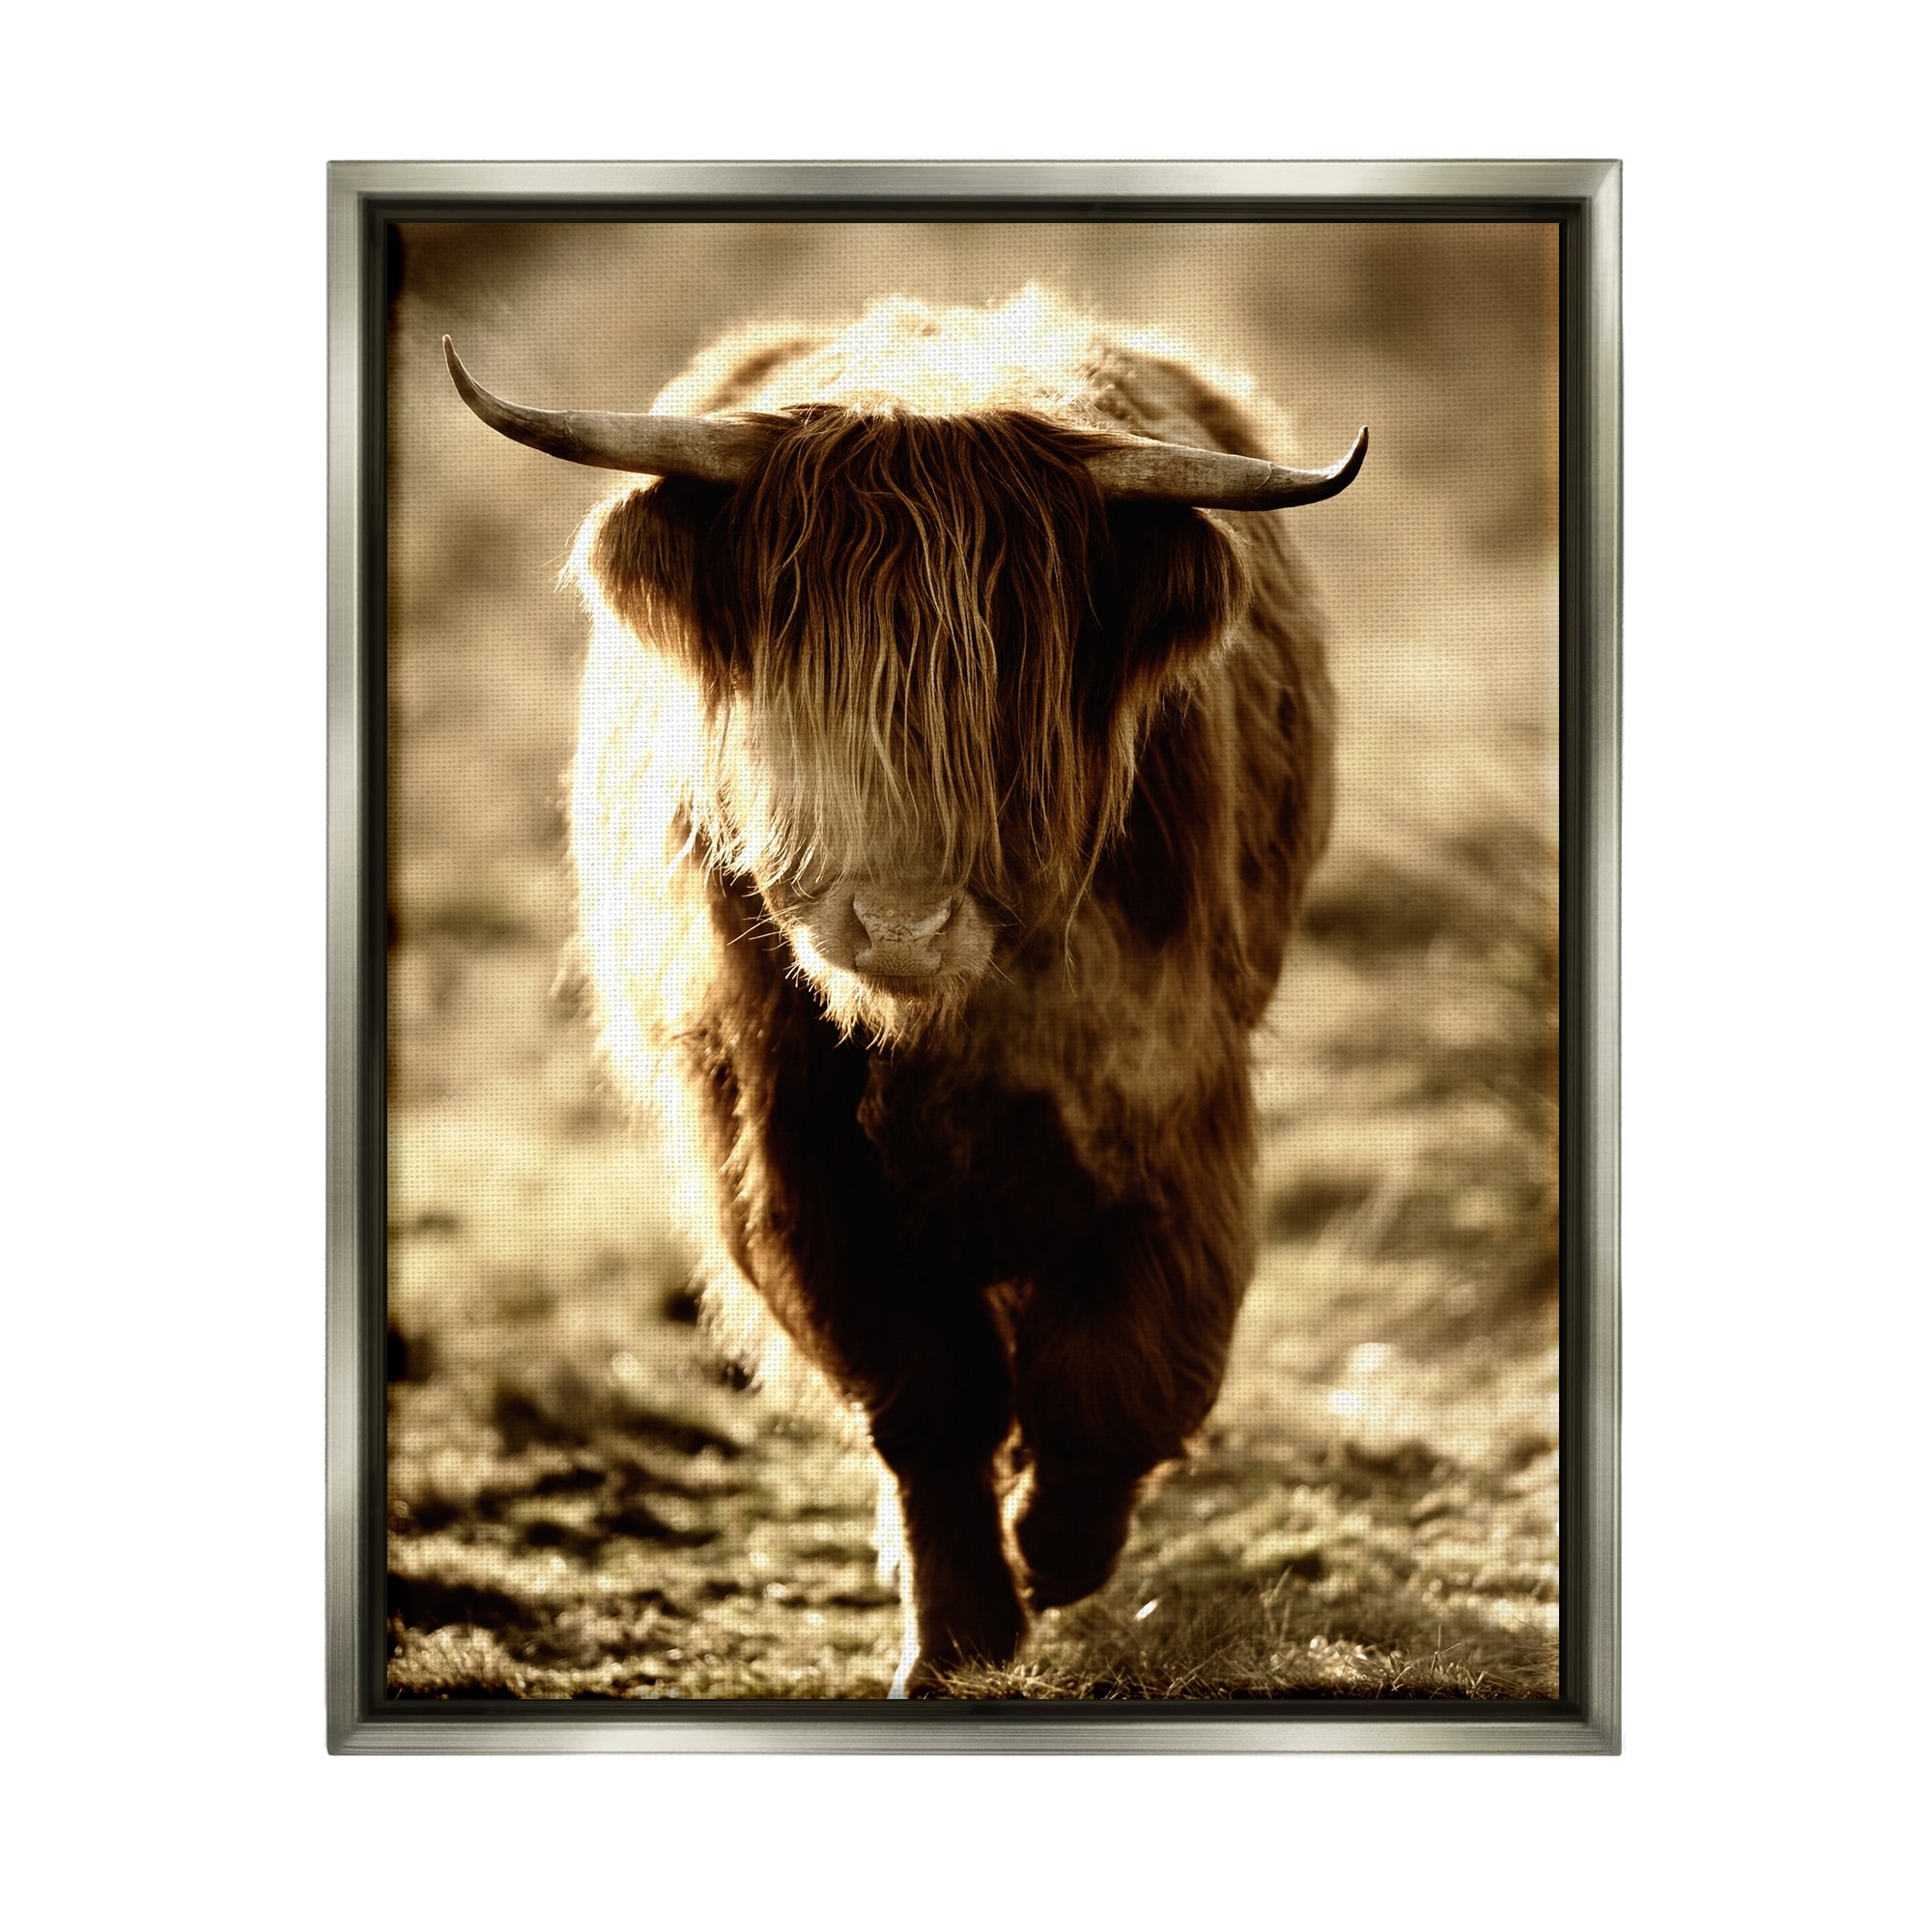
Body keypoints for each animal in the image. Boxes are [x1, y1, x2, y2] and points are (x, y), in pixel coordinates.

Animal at [443, 289, 1365, 1695]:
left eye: (1016, 677)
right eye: (798, 668)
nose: (899, 919)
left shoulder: (1168, 1099)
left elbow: (1123, 1369)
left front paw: (1059, 1548)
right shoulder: (785, 1145)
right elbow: (923, 1388)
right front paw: (961, 1635)